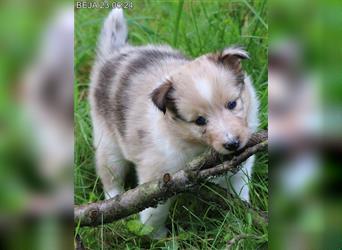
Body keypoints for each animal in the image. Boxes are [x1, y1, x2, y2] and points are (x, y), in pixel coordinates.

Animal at [89, 8, 258, 237]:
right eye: (199, 121)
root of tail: (115, 53)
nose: (232, 144)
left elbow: (239, 192)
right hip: (107, 140)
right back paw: (113, 204)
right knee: (110, 176)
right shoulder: (160, 175)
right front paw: (157, 236)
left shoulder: (240, 168)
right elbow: (154, 211)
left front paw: (241, 222)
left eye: (232, 104)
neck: (198, 148)